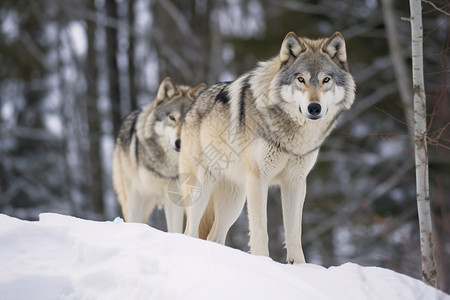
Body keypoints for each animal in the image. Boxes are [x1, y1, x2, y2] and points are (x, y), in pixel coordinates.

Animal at [179, 32, 356, 262]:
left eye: (326, 79)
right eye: (301, 79)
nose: (314, 108)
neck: (293, 135)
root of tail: (193, 105)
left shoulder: (295, 181)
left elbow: (294, 233)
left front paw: (299, 266)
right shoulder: (258, 178)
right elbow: (260, 229)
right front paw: (263, 260)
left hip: (233, 202)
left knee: (213, 237)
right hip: (202, 189)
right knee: (189, 231)